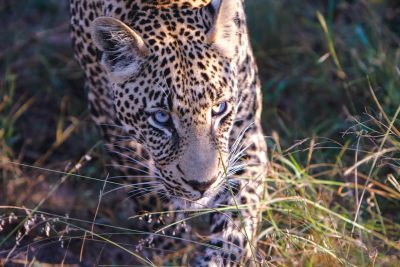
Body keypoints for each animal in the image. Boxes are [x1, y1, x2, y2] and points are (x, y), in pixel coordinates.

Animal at [70, 0, 268, 266]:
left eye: (219, 108)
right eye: (161, 118)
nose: (203, 185)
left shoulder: (246, 132)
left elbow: (238, 218)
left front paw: (217, 257)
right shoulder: (111, 123)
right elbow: (151, 200)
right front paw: (173, 251)